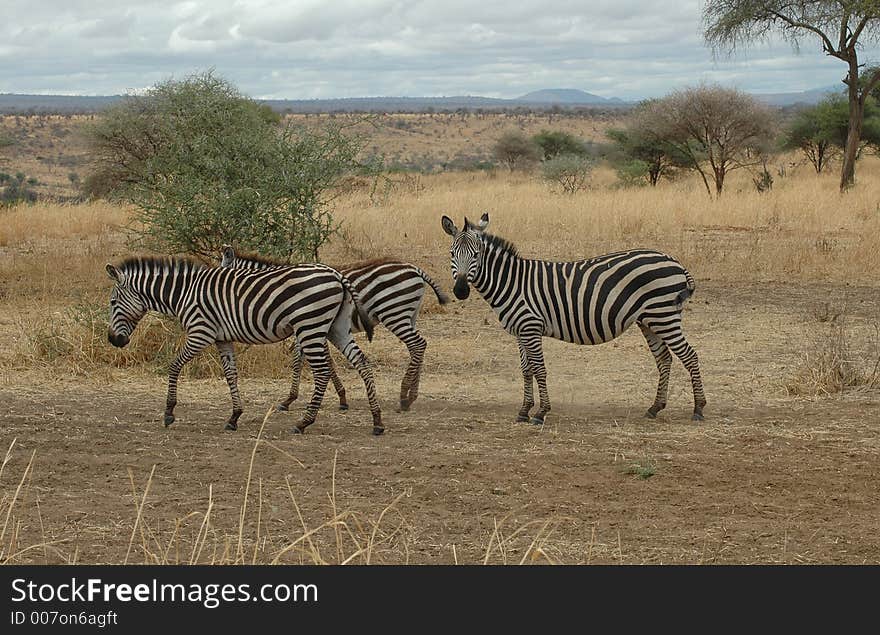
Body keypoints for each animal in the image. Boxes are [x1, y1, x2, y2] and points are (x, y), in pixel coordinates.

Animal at [105, 256, 384, 434]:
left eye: (112, 302)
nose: (113, 340)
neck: (183, 293)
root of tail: (336, 274)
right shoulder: (222, 338)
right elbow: (231, 374)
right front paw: (234, 417)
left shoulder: (201, 332)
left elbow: (174, 367)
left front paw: (169, 412)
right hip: (336, 327)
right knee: (362, 362)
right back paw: (377, 421)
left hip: (310, 325)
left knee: (323, 371)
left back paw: (304, 422)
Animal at [220, 243, 454, 412]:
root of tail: (415, 268)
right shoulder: (311, 328)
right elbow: (320, 361)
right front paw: (340, 398)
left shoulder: (308, 326)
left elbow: (301, 361)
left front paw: (290, 400)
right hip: (410, 314)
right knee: (418, 346)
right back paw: (411, 396)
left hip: (394, 312)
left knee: (417, 345)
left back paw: (404, 396)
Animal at [440, 214, 708, 428]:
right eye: (452, 254)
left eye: (476, 255)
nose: (461, 290)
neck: (511, 282)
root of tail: (674, 261)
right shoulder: (520, 331)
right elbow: (526, 370)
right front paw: (524, 411)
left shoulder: (531, 327)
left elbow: (539, 369)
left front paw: (540, 412)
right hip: (649, 320)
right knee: (664, 359)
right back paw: (655, 407)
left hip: (664, 316)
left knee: (690, 356)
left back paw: (698, 408)